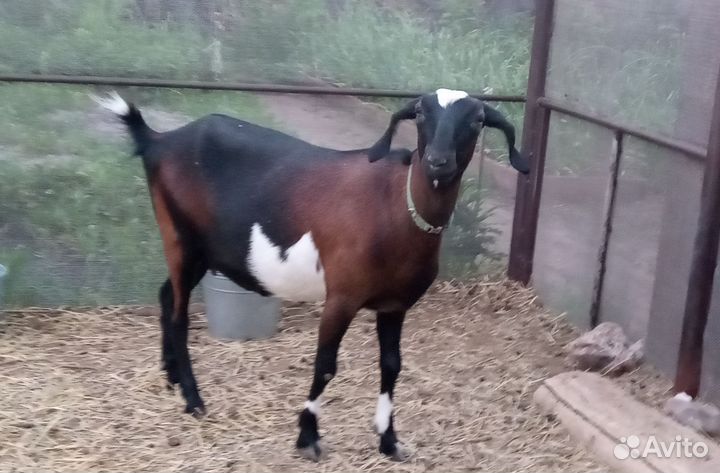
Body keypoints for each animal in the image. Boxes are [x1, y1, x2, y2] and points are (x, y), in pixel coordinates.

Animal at [93, 88, 529, 461]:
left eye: (476, 120)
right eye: (420, 113)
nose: (438, 161)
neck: (393, 207)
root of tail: (159, 140)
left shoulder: (395, 305)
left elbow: (392, 365)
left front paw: (389, 441)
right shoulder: (341, 297)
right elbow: (326, 366)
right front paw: (307, 437)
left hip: (199, 249)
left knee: (167, 295)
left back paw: (170, 377)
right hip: (179, 236)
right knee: (179, 314)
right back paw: (194, 400)